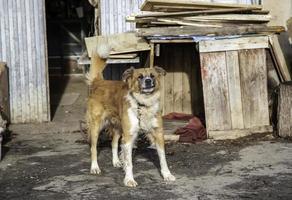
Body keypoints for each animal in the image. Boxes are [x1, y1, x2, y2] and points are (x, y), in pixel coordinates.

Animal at [85, 44, 175, 188]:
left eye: (152, 76)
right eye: (140, 77)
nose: (148, 81)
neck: (143, 104)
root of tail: (99, 82)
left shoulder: (158, 134)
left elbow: (163, 158)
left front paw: (167, 175)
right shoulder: (128, 137)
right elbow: (129, 163)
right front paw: (129, 179)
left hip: (118, 127)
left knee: (114, 143)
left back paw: (116, 161)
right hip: (96, 126)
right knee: (93, 148)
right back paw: (95, 167)